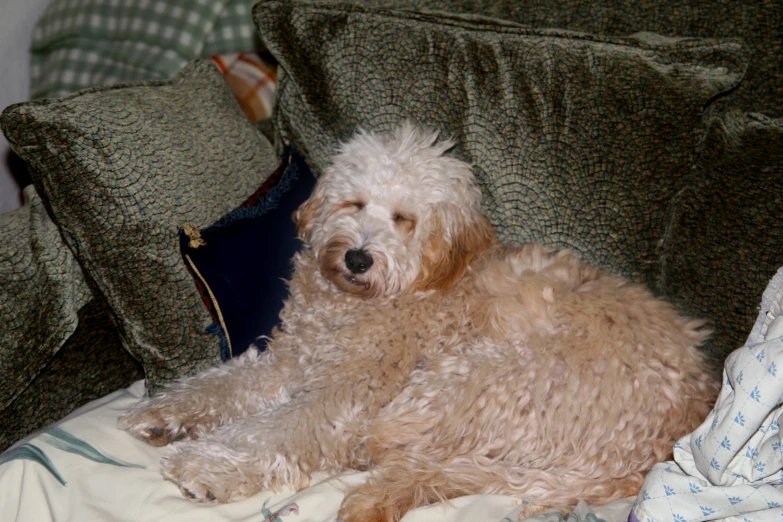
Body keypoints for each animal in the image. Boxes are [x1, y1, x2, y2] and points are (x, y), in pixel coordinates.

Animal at [119, 123, 720, 520]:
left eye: (405, 219)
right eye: (354, 203)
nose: (357, 257)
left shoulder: (347, 397)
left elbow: (274, 429)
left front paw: (207, 466)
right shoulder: (293, 361)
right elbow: (226, 383)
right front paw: (165, 413)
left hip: (467, 379)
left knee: (388, 447)